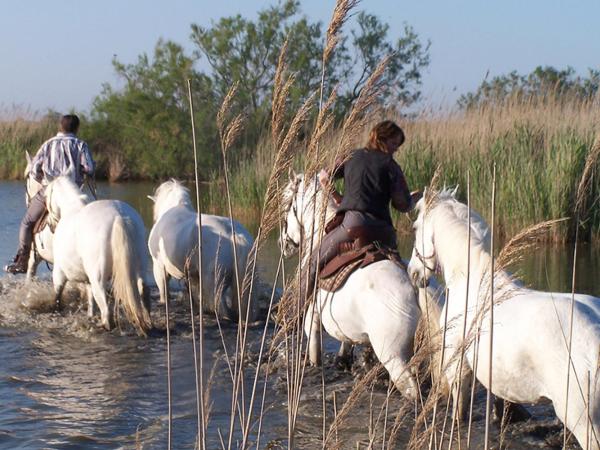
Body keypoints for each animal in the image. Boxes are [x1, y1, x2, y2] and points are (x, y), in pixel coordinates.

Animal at [45, 176, 151, 334]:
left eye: (45, 197)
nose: (50, 225)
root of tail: (118, 216)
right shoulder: (87, 279)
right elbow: (90, 301)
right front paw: (90, 315)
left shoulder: (59, 273)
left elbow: (57, 296)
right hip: (140, 269)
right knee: (144, 294)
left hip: (99, 280)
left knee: (106, 312)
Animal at [149, 178, 256, 322]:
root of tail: (233, 234)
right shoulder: (193, 275)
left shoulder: (159, 267)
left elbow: (164, 290)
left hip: (214, 280)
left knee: (220, 305)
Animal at [278, 174, 422, 400]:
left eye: (286, 205)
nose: (283, 245)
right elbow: (344, 352)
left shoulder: (312, 322)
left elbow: (314, 356)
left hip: (394, 358)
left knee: (412, 390)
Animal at [408, 188, 600, 448]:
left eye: (416, 227)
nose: (413, 273)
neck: (472, 280)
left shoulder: (459, 367)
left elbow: (460, 412)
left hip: (583, 421)